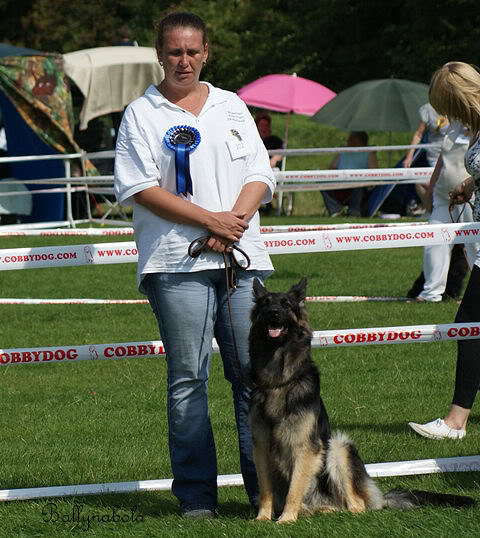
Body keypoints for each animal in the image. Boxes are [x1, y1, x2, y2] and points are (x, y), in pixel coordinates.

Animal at [249, 276, 474, 520]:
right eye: (266, 304)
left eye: (286, 305)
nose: (273, 313)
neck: (279, 381)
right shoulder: (260, 446)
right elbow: (265, 489)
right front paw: (262, 518)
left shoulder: (305, 447)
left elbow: (295, 488)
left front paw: (286, 519)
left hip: (338, 447)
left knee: (356, 505)